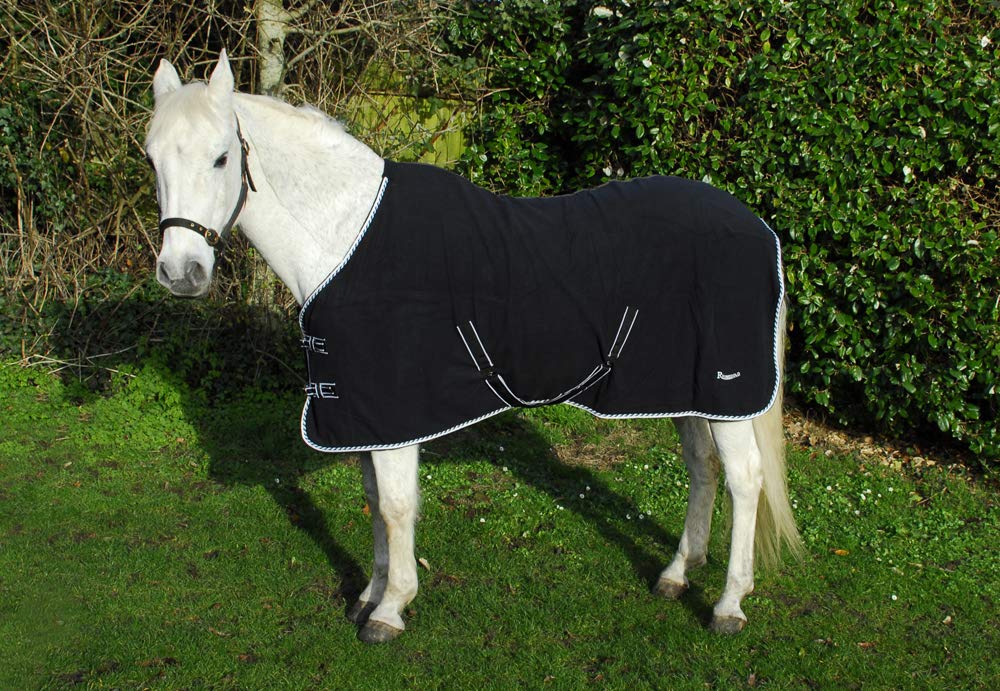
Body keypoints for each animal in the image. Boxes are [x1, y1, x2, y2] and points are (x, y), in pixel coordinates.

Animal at [145, 51, 802, 643]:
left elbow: (395, 506)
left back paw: (728, 605)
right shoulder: (362, 414)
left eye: (222, 157)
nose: (181, 273)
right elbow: (372, 500)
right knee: (702, 468)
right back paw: (675, 574)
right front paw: (369, 594)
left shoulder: (395, 413)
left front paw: (391, 609)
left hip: (726, 394)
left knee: (745, 479)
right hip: (684, 390)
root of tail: (756, 226)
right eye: (152, 158)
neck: (347, 234)